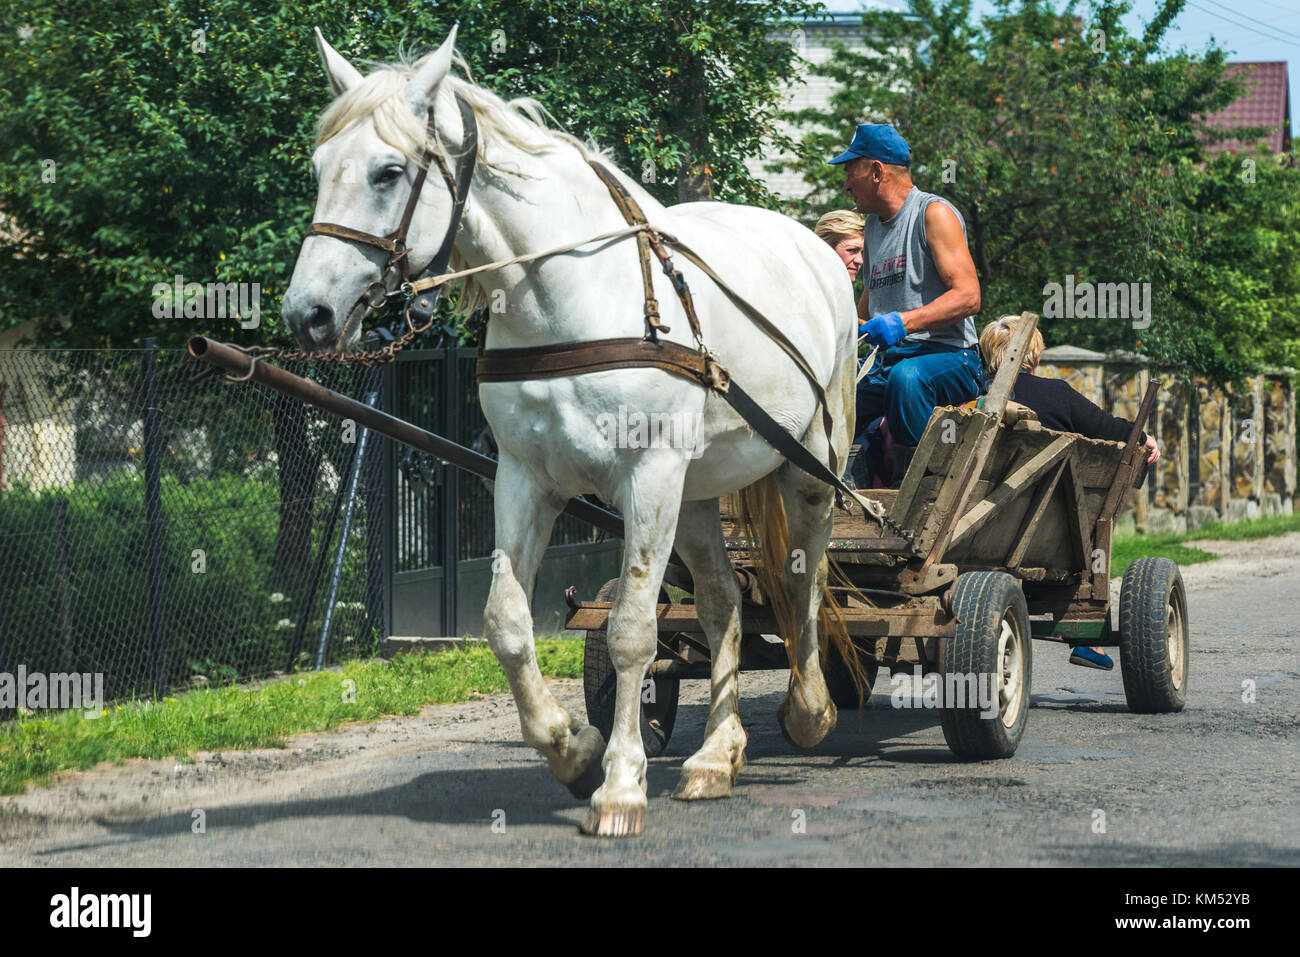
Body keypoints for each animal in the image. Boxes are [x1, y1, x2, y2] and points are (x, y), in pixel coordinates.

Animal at [279, 26, 857, 837]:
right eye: (319, 170)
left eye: (388, 171)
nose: (308, 314)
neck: (566, 297)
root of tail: (814, 250)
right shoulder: (528, 478)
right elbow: (506, 622)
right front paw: (572, 748)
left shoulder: (648, 476)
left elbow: (631, 631)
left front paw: (619, 787)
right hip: (697, 493)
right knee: (723, 602)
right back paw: (716, 755)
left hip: (809, 467)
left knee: (804, 581)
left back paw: (810, 711)